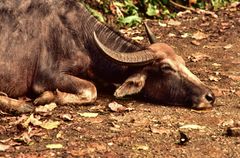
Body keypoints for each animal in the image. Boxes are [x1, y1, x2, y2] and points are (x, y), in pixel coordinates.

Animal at [0, 0, 215, 113]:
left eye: (183, 62)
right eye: (166, 68)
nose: (210, 96)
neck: (82, 38)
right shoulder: (47, 77)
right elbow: (91, 90)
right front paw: (46, 97)